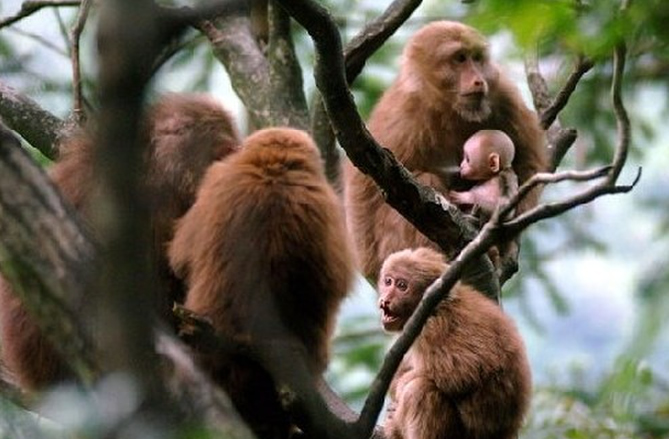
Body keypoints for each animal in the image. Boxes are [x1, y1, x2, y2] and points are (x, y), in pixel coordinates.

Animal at [344, 20, 548, 280]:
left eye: (476, 58)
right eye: (460, 59)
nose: (478, 80)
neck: (450, 107)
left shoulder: (503, 93)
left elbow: (527, 161)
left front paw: (503, 236)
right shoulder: (403, 111)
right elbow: (365, 183)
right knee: (423, 180)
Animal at [378, 248, 528, 439]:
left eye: (402, 286)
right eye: (388, 281)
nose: (386, 299)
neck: (439, 306)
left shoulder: (431, 327)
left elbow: (462, 373)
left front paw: (400, 388)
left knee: (420, 389)